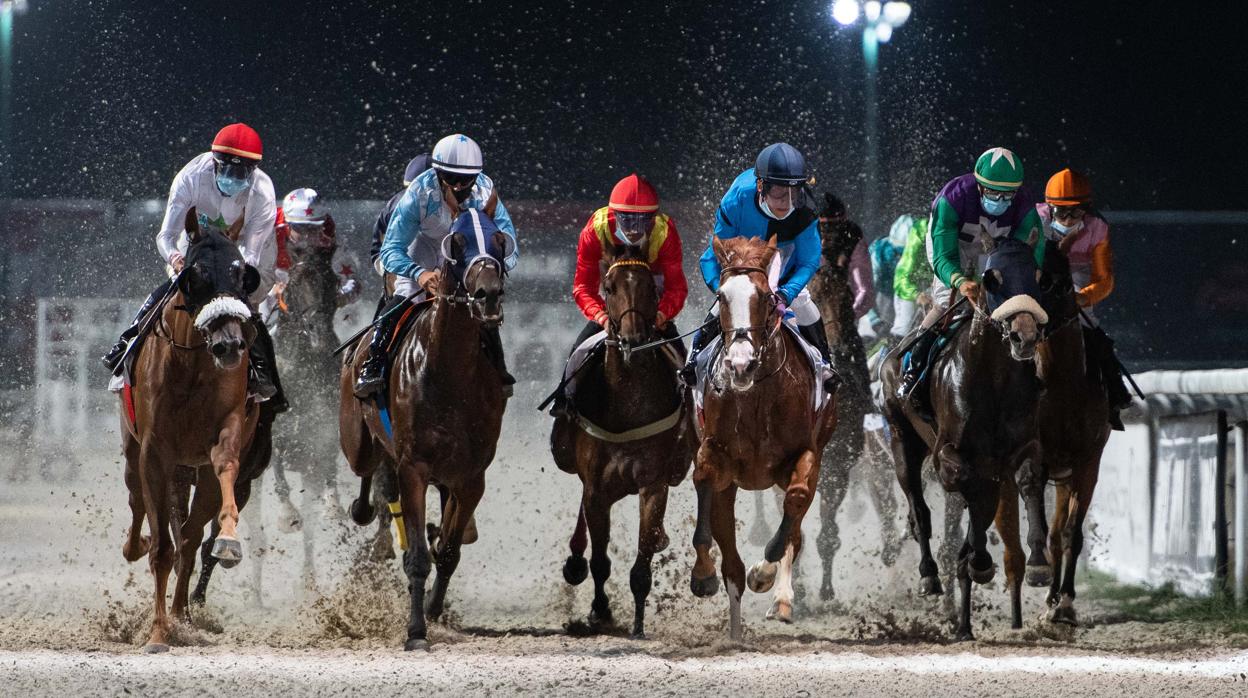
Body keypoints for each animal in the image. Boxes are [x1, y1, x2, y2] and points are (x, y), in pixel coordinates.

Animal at [119, 209, 263, 654]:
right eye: (194, 274)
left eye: (241, 272)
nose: (230, 345)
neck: (192, 368)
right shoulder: (154, 451)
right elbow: (161, 548)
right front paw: (157, 633)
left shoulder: (226, 432)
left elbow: (225, 473)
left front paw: (229, 539)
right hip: (132, 450)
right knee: (137, 503)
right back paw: (136, 545)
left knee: (187, 535)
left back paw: (182, 614)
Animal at [336, 227, 506, 654]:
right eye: (458, 245)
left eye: (500, 243)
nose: (488, 294)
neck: (449, 372)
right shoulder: (415, 467)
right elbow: (417, 557)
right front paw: (415, 630)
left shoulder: (471, 476)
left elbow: (448, 551)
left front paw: (432, 607)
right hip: (358, 442)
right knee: (370, 470)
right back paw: (365, 505)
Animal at [551, 243, 698, 636]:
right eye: (609, 287)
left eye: (651, 288)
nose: (633, 340)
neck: (627, 403)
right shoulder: (596, 486)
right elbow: (600, 559)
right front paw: (599, 611)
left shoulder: (653, 484)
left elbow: (642, 561)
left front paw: (638, 623)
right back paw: (575, 562)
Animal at [693, 234, 838, 639]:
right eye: (722, 295)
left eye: (765, 297)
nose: (740, 364)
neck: (755, 394)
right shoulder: (716, 456)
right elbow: (704, 481)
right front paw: (703, 574)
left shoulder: (807, 455)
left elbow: (796, 504)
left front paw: (765, 573)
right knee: (729, 557)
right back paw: (735, 630)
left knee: (795, 526)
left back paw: (780, 597)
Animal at [883, 237, 1048, 644]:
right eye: (992, 279)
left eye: (1037, 276)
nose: (1024, 335)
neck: (994, 379)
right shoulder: (948, 455)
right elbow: (968, 486)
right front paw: (977, 558)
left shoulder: (1022, 446)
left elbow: (1028, 479)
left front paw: (1038, 562)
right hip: (901, 437)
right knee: (919, 508)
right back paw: (930, 574)